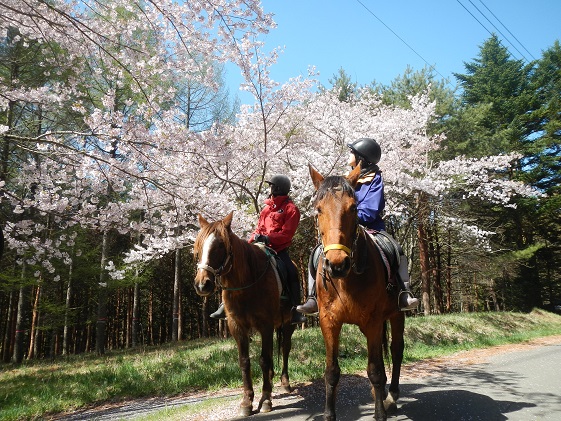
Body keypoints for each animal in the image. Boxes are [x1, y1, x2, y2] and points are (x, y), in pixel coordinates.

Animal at [194, 212, 298, 416]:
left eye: (220, 245)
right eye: (199, 246)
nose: (202, 284)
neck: (246, 284)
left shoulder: (265, 324)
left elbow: (264, 359)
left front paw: (265, 400)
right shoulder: (237, 326)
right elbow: (244, 362)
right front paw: (247, 402)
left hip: (289, 324)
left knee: (285, 349)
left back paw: (284, 382)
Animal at [308, 163, 404, 420]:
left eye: (353, 208)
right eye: (318, 210)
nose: (337, 264)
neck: (346, 280)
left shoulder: (373, 321)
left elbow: (375, 370)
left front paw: (380, 413)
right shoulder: (329, 322)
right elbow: (332, 372)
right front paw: (329, 414)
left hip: (396, 315)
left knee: (396, 350)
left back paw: (391, 395)